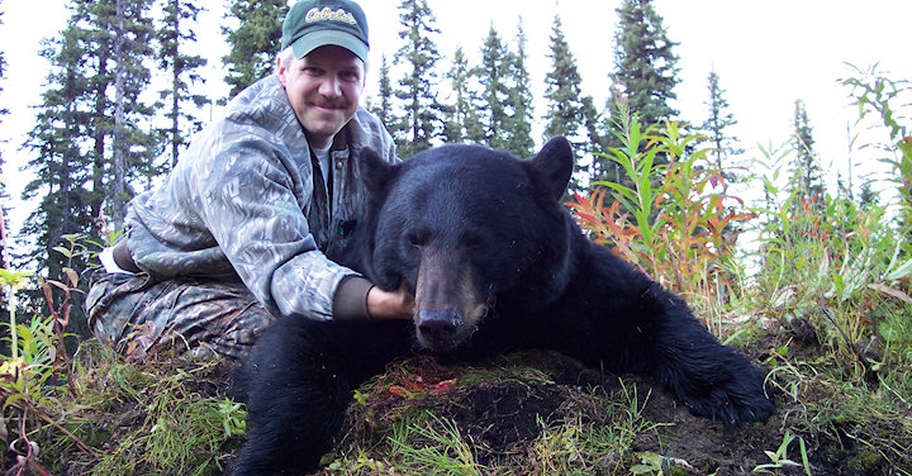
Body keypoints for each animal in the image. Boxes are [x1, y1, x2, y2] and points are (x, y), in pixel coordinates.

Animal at [230, 137, 775, 475]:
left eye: (479, 240)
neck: (494, 325)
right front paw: (268, 459)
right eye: (414, 239)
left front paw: (736, 389)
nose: (437, 323)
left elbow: (644, 309)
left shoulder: (567, 288)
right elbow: (298, 348)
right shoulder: (363, 296)